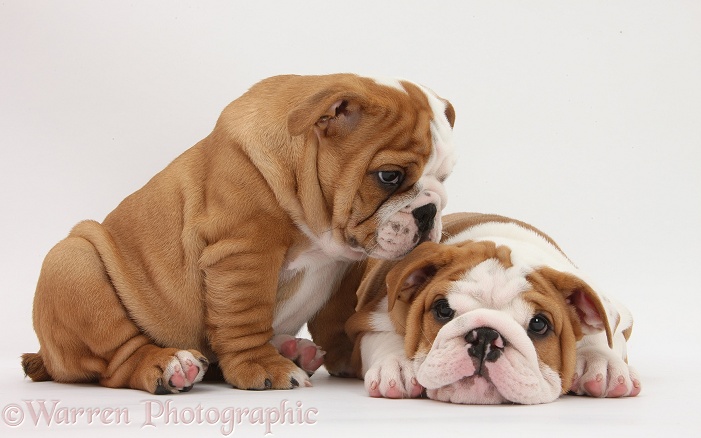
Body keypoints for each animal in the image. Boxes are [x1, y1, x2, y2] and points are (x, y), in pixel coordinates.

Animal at [20, 73, 454, 396]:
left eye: (445, 178)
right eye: (389, 176)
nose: (430, 210)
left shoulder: (347, 268)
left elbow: (339, 316)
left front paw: (359, 355)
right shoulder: (245, 252)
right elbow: (245, 317)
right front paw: (261, 365)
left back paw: (293, 349)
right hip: (74, 262)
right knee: (119, 359)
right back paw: (169, 364)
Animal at [344, 212, 640, 404]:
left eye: (539, 324)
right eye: (443, 309)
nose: (485, 336)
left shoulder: (616, 313)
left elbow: (604, 332)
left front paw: (602, 362)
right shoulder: (371, 317)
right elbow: (384, 337)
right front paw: (398, 366)